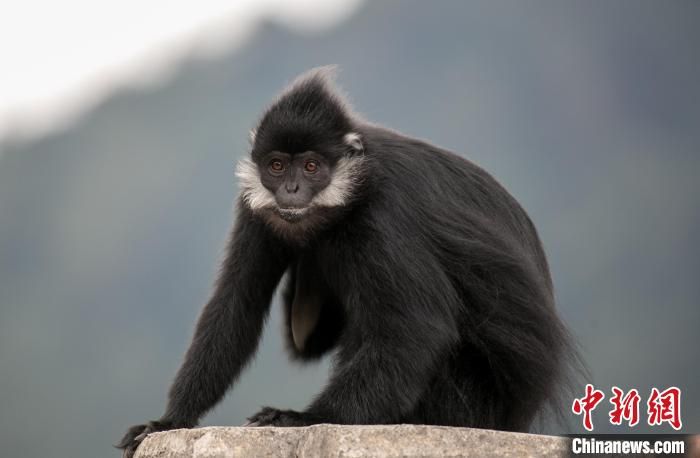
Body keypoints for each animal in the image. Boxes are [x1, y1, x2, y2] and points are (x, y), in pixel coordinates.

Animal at [117, 68, 576, 458]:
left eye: (311, 166)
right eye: (277, 165)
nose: (291, 189)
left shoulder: (385, 213)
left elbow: (418, 329)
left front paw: (304, 419)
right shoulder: (254, 207)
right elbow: (236, 306)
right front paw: (168, 421)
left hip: (468, 398)